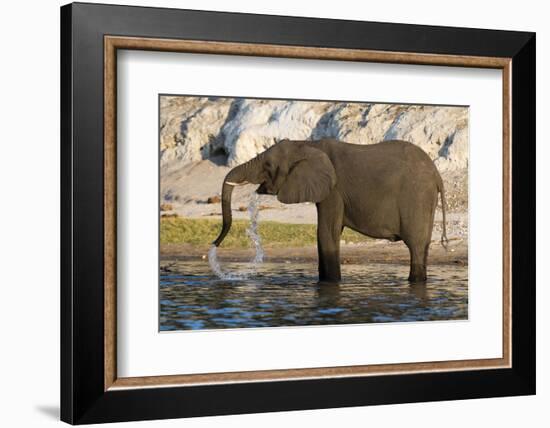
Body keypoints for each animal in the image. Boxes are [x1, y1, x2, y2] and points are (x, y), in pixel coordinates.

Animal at [213, 139, 450, 282]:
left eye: (268, 166)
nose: (214, 244)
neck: (306, 144)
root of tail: (437, 175)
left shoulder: (334, 191)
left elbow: (327, 233)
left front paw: (331, 282)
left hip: (417, 196)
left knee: (416, 246)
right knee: (423, 246)